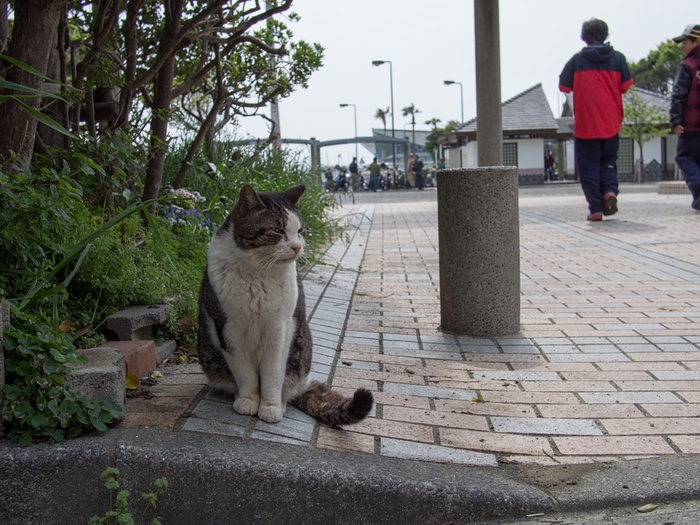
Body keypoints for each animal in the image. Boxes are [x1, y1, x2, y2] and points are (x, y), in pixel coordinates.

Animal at [198, 184, 372, 426]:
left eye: (301, 231)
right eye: (278, 231)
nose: (297, 247)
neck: (259, 274)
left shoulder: (280, 329)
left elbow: (273, 374)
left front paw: (270, 407)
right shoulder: (227, 329)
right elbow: (245, 374)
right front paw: (248, 400)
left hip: (300, 350)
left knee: (289, 387)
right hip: (209, 352)